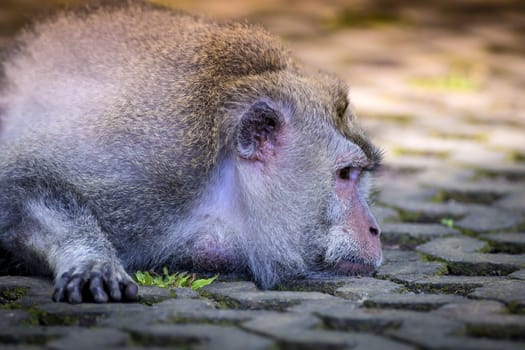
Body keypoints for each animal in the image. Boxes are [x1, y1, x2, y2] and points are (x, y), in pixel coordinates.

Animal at [1, 2, 380, 304]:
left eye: (360, 175)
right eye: (345, 174)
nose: (375, 229)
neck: (223, 185)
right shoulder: (153, 166)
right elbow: (19, 186)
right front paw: (91, 261)